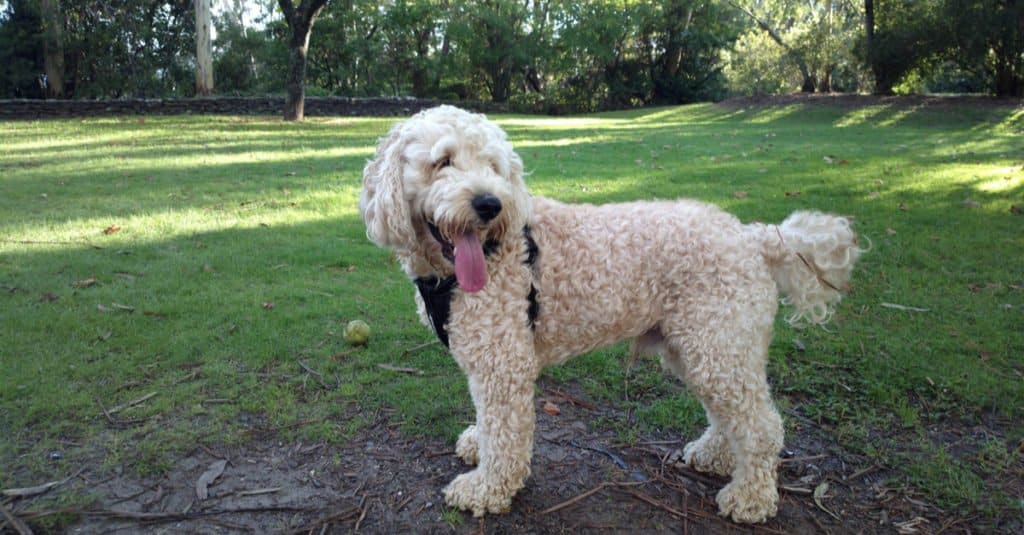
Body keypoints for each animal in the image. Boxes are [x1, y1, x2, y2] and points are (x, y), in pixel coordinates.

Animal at [360, 104, 864, 520]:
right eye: (442, 161)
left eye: (494, 167)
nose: (490, 203)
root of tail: (754, 236)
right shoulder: (487, 359)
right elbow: (488, 426)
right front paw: (476, 445)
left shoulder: (504, 363)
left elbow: (504, 435)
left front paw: (486, 488)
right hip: (701, 347)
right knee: (733, 414)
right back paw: (716, 455)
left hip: (717, 344)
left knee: (762, 426)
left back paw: (751, 498)